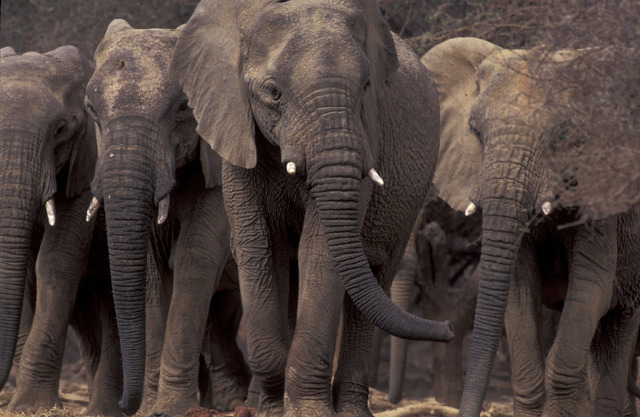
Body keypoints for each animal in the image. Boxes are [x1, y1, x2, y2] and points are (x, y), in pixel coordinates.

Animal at [0, 45, 122, 412]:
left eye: (61, 129)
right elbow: (27, 274)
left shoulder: (87, 165)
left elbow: (55, 263)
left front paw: (31, 407)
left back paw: (103, 410)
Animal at [86, 21, 251, 414]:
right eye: (90, 109)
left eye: (183, 107)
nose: (124, 404)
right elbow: (152, 271)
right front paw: (151, 410)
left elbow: (195, 256)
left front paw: (170, 408)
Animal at [170, 0, 456, 416]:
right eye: (273, 92)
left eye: (367, 87)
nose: (449, 328)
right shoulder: (237, 134)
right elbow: (259, 247)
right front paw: (272, 408)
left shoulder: (365, 139)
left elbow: (320, 252)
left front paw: (308, 410)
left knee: (375, 278)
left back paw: (351, 409)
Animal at [420, 36, 640, 416]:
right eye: (474, 130)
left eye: (564, 134)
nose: (446, 330)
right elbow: (517, 287)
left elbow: (591, 286)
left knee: (619, 320)